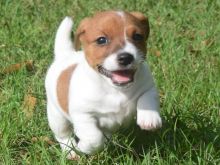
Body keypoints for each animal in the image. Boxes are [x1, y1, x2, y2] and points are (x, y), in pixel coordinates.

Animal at [45, 10, 162, 160]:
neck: (115, 89)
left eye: (137, 36)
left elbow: (146, 98)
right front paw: (84, 147)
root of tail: (65, 55)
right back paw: (71, 151)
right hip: (57, 117)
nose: (126, 57)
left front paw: (149, 118)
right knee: (63, 136)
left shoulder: (148, 86)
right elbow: (94, 138)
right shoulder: (83, 115)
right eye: (101, 40)